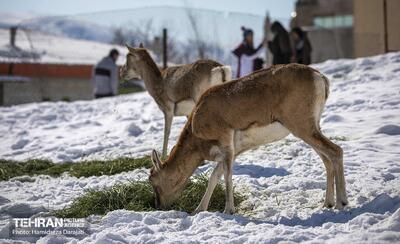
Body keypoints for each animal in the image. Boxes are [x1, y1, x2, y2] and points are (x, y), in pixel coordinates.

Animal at [148, 63, 348, 214]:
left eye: (152, 180)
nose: (158, 205)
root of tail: (319, 78)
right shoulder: (232, 151)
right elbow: (215, 176)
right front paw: (199, 210)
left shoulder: (226, 142)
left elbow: (227, 176)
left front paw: (228, 210)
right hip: (311, 130)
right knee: (327, 159)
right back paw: (327, 203)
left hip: (303, 128)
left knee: (336, 151)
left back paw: (342, 203)